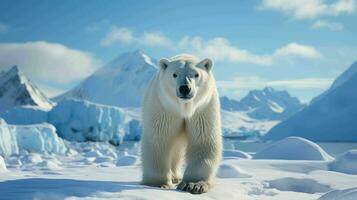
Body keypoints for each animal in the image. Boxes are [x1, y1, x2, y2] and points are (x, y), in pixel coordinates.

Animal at [140, 54, 221, 194]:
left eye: (196, 74)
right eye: (174, 74)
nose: (184, 88)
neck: (184, 107)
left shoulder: (203, 108)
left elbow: (203, 140)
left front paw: (194, 185)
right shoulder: (164, 108)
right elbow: (159, 140)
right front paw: (159, 184)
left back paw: (176, 177)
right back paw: (173, 177)